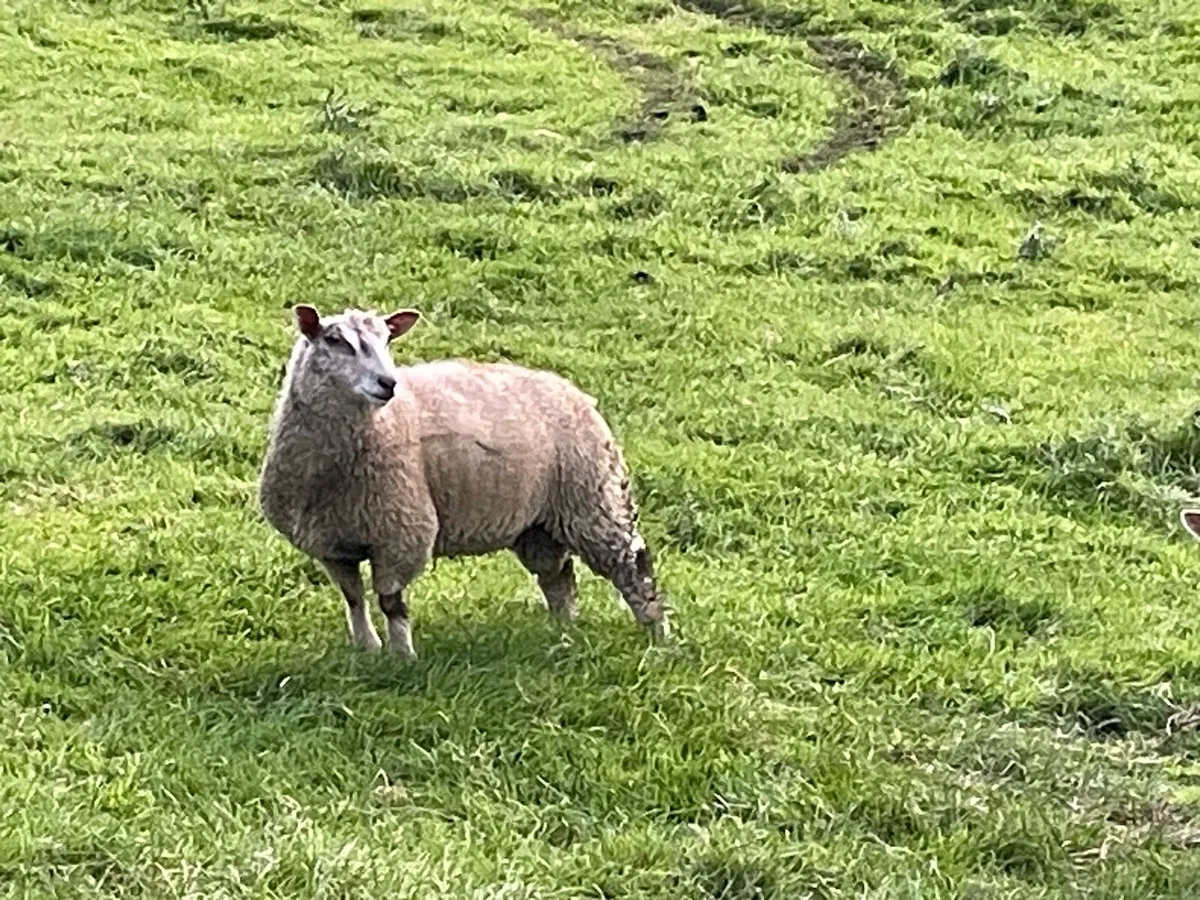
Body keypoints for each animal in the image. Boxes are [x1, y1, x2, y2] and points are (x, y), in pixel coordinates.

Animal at [258, 304, 669, 658]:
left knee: (634, 565)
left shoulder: (401, 534)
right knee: (558, 576)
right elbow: (354, 598)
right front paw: (367, 648)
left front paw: (402, 656)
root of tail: (574, 391)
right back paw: (564, 631)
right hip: (538, 524)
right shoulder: (331, 543)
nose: (387, 383)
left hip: (594, 498)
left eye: (388, 341)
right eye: (334, 340)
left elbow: (391, 603)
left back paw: (658, 635)